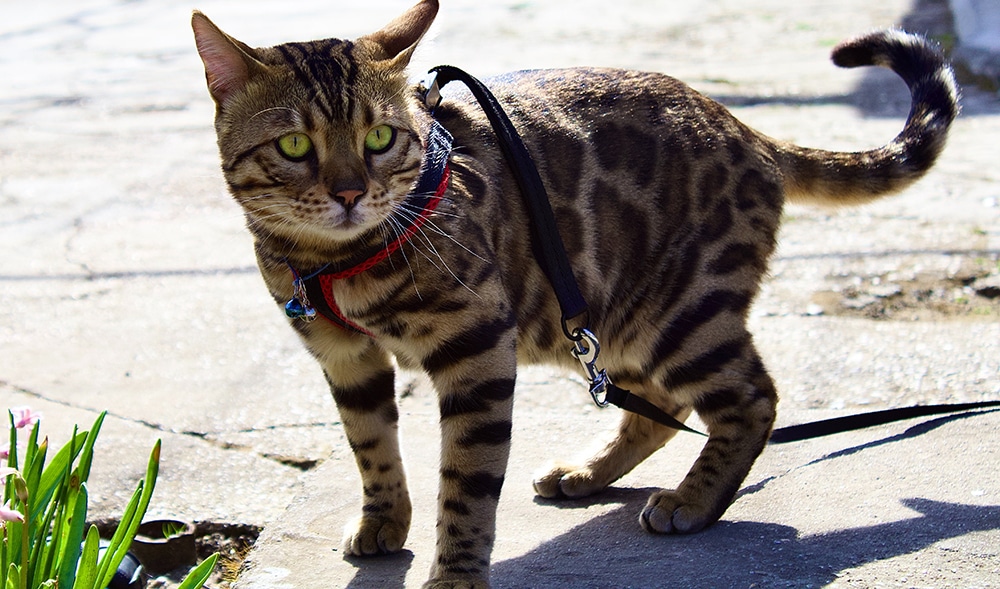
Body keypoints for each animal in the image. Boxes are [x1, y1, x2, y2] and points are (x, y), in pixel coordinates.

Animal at [191, 2, 956, 584]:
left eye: (380, 137)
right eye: (294, 147)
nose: (351, 193)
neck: (332, 262)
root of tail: (749, 131)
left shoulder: (476, 347)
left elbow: (466, 484)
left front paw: (456, 573)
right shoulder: (345, 357)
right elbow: (369, 444)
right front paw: (384, 519)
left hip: (677, 313)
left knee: (751, 398)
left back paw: (692, 499)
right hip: (607, 317)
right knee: (659, 404)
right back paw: (589, 472)